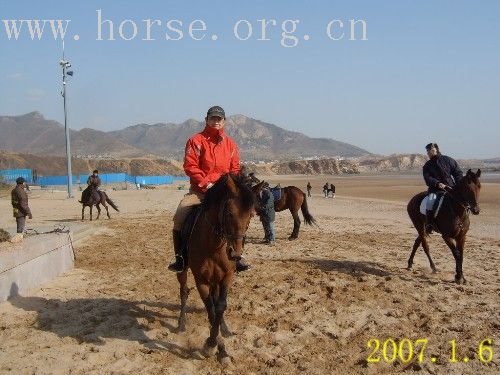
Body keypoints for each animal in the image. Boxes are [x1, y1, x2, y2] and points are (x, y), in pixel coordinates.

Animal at [176, 174, 256, 364]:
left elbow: (220, 306)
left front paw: (221, 346)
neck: (213, 245)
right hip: (183, 271)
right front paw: (212, 346)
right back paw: (181, 323)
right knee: (184, 291)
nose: (235, 254)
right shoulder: (201, 281)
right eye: (229, 213)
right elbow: (210, 309)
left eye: (251, 215)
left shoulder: (227, 276)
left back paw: (224, 328)